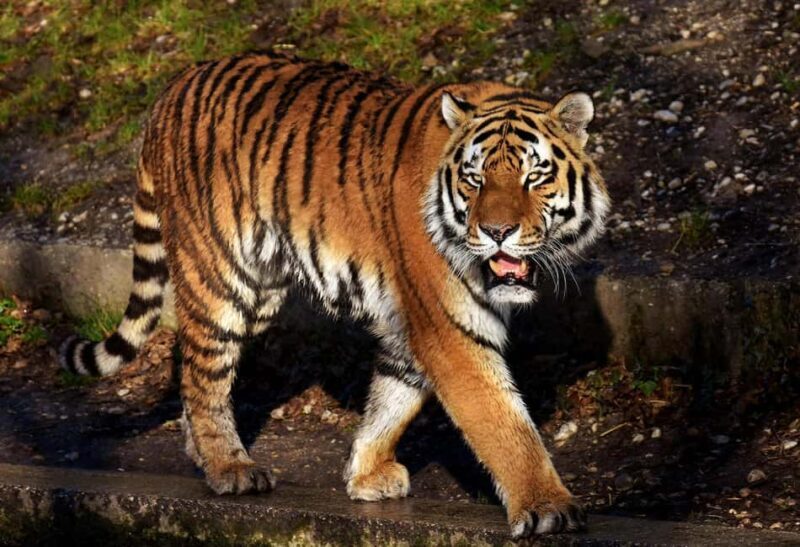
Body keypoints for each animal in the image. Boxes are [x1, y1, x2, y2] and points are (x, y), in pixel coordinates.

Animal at [59, 51, 609, 538]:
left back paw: (202, 454)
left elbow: (393, 398)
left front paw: (365, 474)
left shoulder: (411, 323)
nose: (496, 232)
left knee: (192, 366)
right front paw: (547, 508)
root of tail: (172, 89)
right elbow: (503, 423)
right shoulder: (449, 327)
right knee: (205, 374)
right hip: (219, 277)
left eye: (534, 176)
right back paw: (229, 469)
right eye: (474, 180)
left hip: (261, 291)